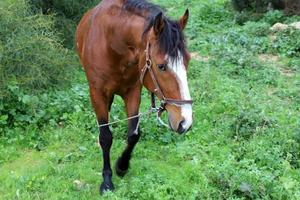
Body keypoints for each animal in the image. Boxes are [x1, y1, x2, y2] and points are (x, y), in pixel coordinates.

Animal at [76, 0, 193, 194]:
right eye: (161, 66)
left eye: (187, 61)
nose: (186, 122)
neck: (112, 42)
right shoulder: (97, 93)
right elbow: (106, 136)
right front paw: (107, 180)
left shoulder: (132, 92)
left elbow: (133, 135)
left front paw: (122, 166)